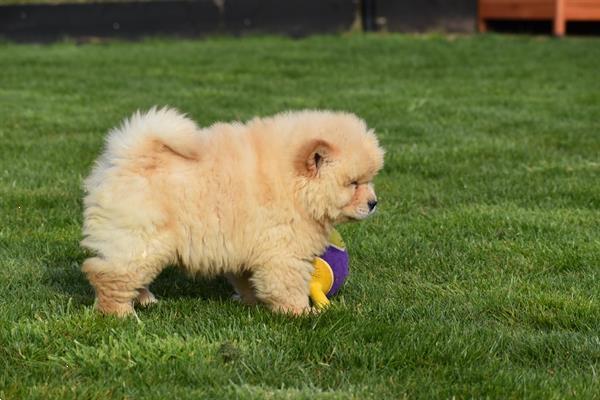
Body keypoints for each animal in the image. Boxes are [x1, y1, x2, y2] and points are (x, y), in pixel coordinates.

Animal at [82, 108, 384, 318]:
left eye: (369, 180)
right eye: (353, 184)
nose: (374, 202)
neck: (292, 183)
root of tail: (127, 156)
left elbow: (248, 279)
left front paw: (250, 301)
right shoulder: (285, 250)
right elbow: (289, 283)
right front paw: (300, 313)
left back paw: (145, 299)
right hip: (142, 238)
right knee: (108, 274)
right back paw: (120, 313)